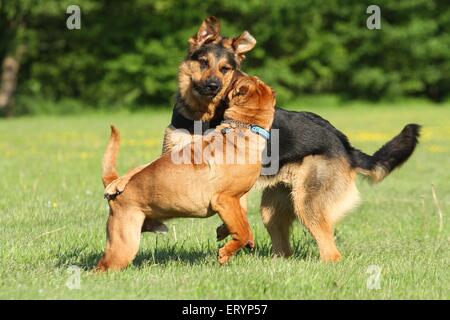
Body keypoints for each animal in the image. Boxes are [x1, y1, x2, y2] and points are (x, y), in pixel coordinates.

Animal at [96, 73, 276, 270]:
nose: (235, 72)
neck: (244, 127)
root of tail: (115, 184)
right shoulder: (225, 199)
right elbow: (242, 231)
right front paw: (225, 253)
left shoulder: (237, 199)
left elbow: (243, 223)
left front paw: (226, 233)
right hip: (124, 244)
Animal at [160, 16, 420, 262]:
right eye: (204, 62)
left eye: (225, 69)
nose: (213, 86)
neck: (202, 119)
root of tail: (344, 144)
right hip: (273, 210)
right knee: (284, 250)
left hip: (307, 205)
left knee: (330, 252)